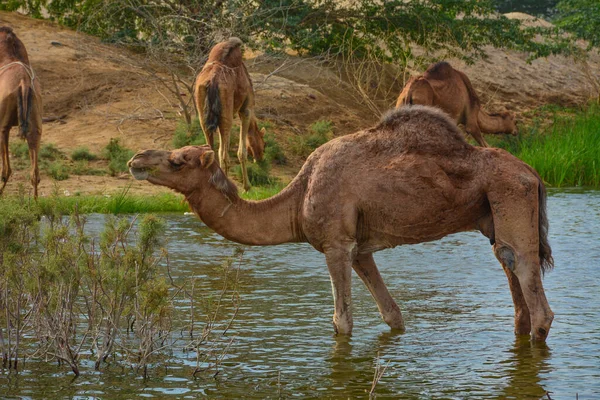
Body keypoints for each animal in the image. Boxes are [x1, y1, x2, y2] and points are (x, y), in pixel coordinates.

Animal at [129, 104, 556, 342]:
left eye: (177, 161)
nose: (136, 160)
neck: (297, 197)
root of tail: (534, 174)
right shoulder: (359, 249)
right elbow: (392, 315)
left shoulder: (335, 244)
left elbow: (342, 322)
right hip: (491, 217)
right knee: (511, 274)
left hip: (511, 198)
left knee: (532, 292)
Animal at [195, 36, 264, 191]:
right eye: (264, 144)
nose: (260, 158)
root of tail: (212, 81)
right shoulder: (246, 109)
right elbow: (241, 152)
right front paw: (247, 186)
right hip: (225, 114)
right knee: (223, 154)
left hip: (203, 115)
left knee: (211, 150)